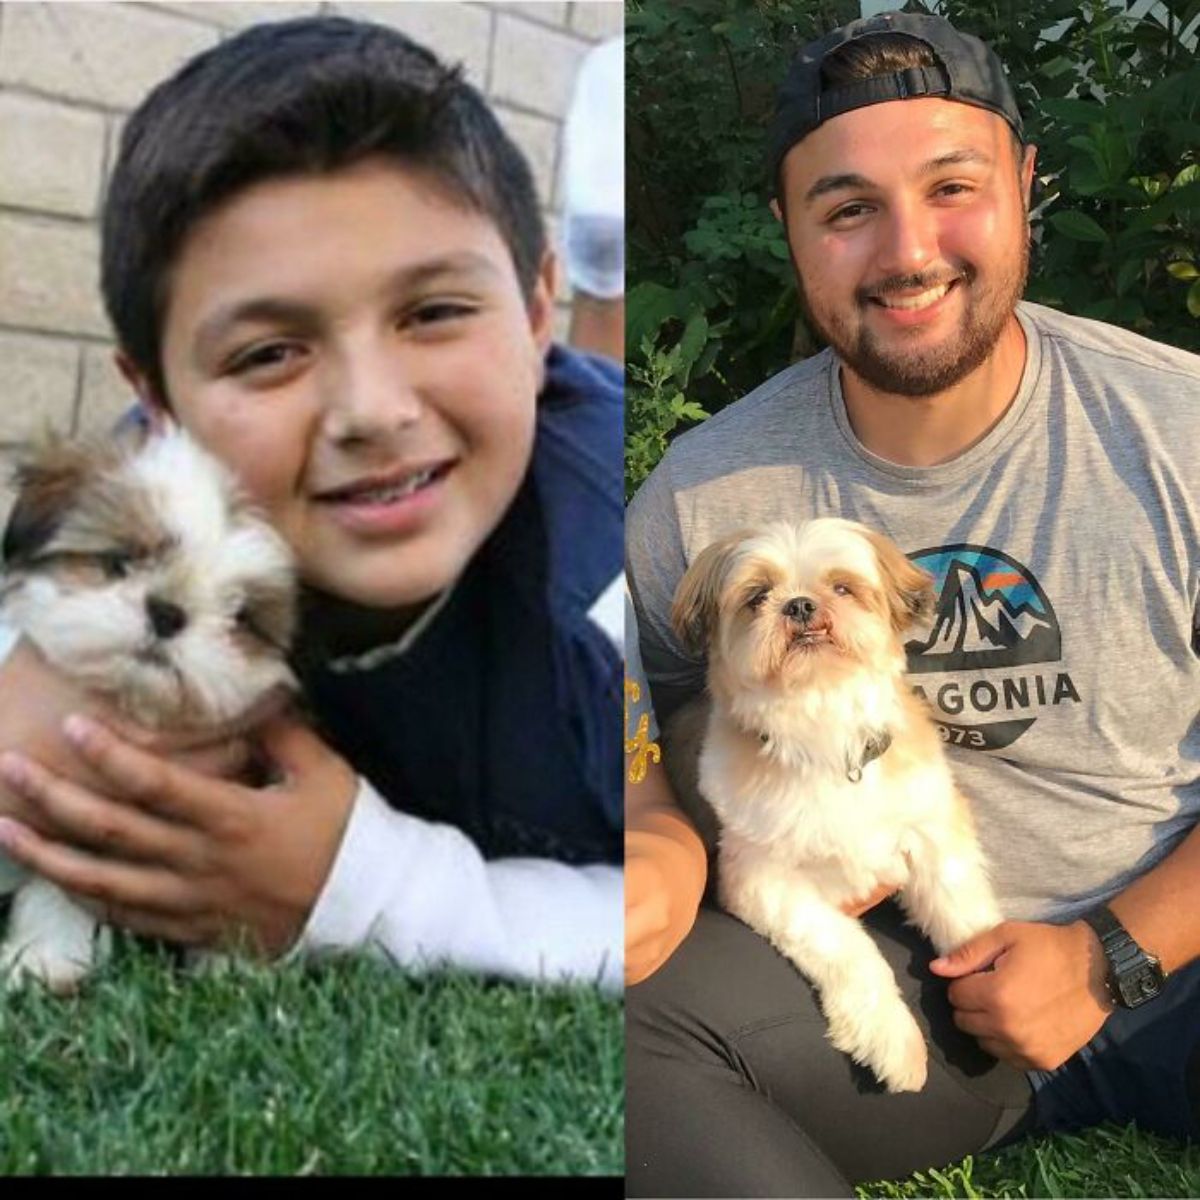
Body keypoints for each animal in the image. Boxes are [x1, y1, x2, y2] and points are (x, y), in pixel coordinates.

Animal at [676, 520, 1003, 1094]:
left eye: (843, 587)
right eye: (757, 596)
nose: (800, 605)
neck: (821, 736)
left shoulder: (931, 825)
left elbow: (962, 908)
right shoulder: (763, 880)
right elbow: (845, 948)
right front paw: (892, 1039)